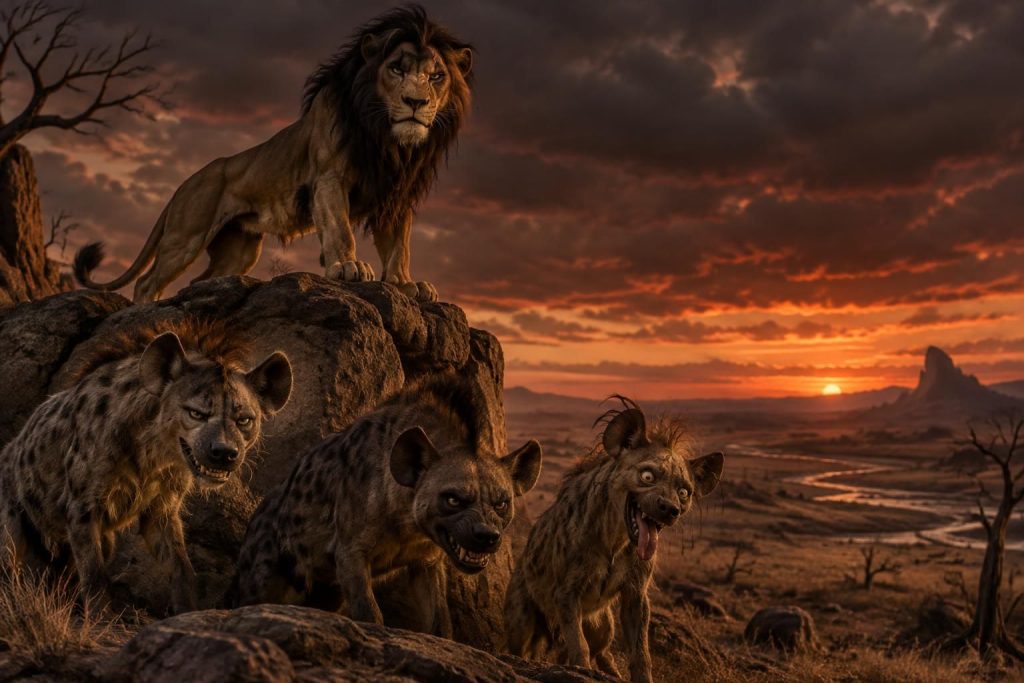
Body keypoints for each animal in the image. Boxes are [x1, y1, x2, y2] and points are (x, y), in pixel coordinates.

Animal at [73, 5, 472, 303]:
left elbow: (399, 246)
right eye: (397, 68)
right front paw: (348, 267)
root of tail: (184, 184)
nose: (416, 102)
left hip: (240, 250)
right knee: (148, 281)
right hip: (185, 237)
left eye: (436, 76)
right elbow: (340, 229)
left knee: (200, 281)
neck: (389, 141)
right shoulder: (329, 177)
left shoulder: (397, 192)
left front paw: (405, 284)